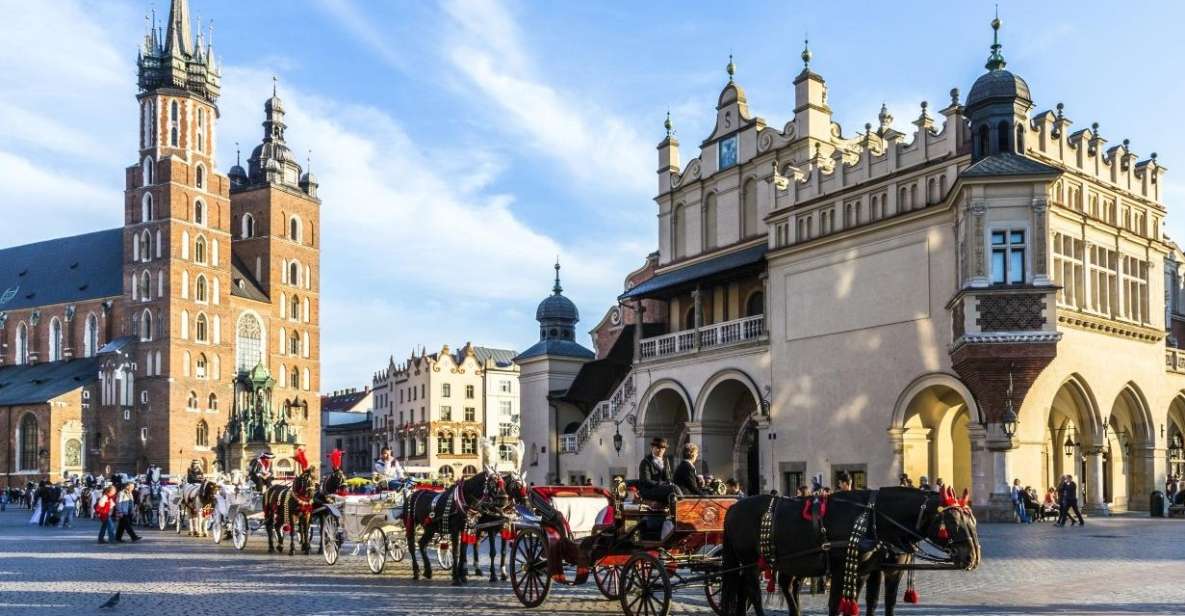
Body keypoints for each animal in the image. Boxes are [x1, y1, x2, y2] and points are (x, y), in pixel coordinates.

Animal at [720, 485, 981, 616]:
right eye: (952, 522)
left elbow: (877, 603)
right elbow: (837, 605)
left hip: (790, 563)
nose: (972, 557)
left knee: (781, 588)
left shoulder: (869, 570)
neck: (872, 517)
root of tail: (733, 507)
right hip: (749, 561)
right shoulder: (842, 569)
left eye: (973, 520)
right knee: (753, 592)